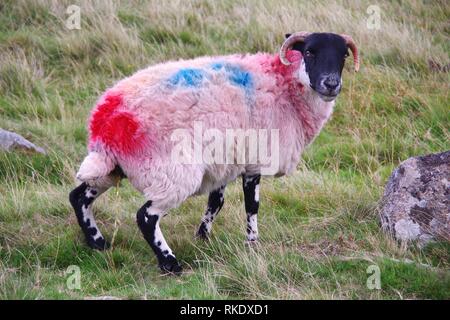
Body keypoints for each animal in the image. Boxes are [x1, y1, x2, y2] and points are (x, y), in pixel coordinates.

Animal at [69, 31, 358, 274]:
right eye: (309, 51)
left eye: (343, 54)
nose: (331, 84)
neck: (284, 85)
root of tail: (108, 120)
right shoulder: (253, 160)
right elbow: (252, 206)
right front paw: (252, 244)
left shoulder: (224, 162)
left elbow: (215, 203)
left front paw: (203, 237)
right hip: (170, 173)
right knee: (146, 217)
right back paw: (170, 263)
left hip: (113, 167)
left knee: (78, 197)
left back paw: (98, 243)